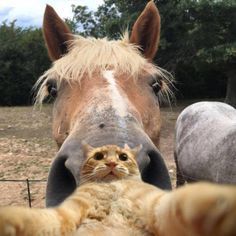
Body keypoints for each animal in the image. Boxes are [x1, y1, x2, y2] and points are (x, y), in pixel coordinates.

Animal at [0, 144, 236, 236]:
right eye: (98, 156)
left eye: (123, 157)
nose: (112, 163)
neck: (112, 189)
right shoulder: (69, 211)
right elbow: (43, 219)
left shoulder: (156, 205)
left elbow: (184, 202)